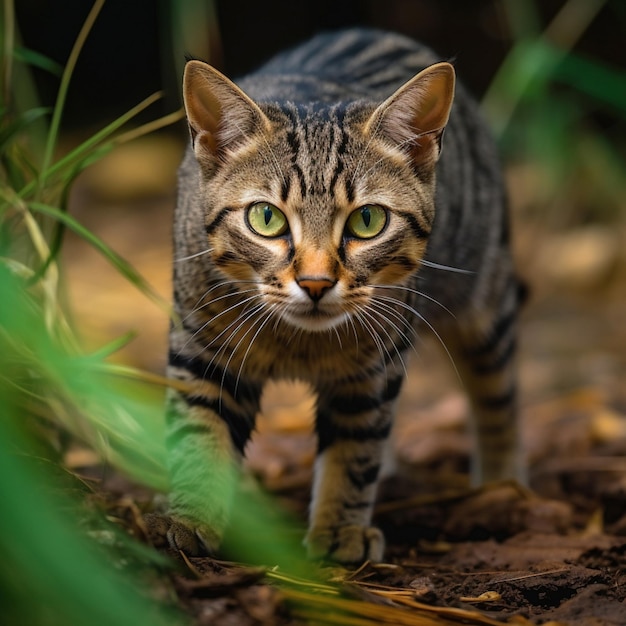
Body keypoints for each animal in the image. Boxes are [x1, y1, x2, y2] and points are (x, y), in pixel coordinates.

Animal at [154, 28, 524, 560]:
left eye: (367, 221)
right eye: (265, 217)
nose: (315, 282)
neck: (297, 342)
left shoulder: (374, 370)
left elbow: (355, 449)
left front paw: (338, 530)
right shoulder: (200, 348)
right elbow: (198, 431)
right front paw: (191, 515)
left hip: (486, 297)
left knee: (498, 396)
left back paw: (501, 485)